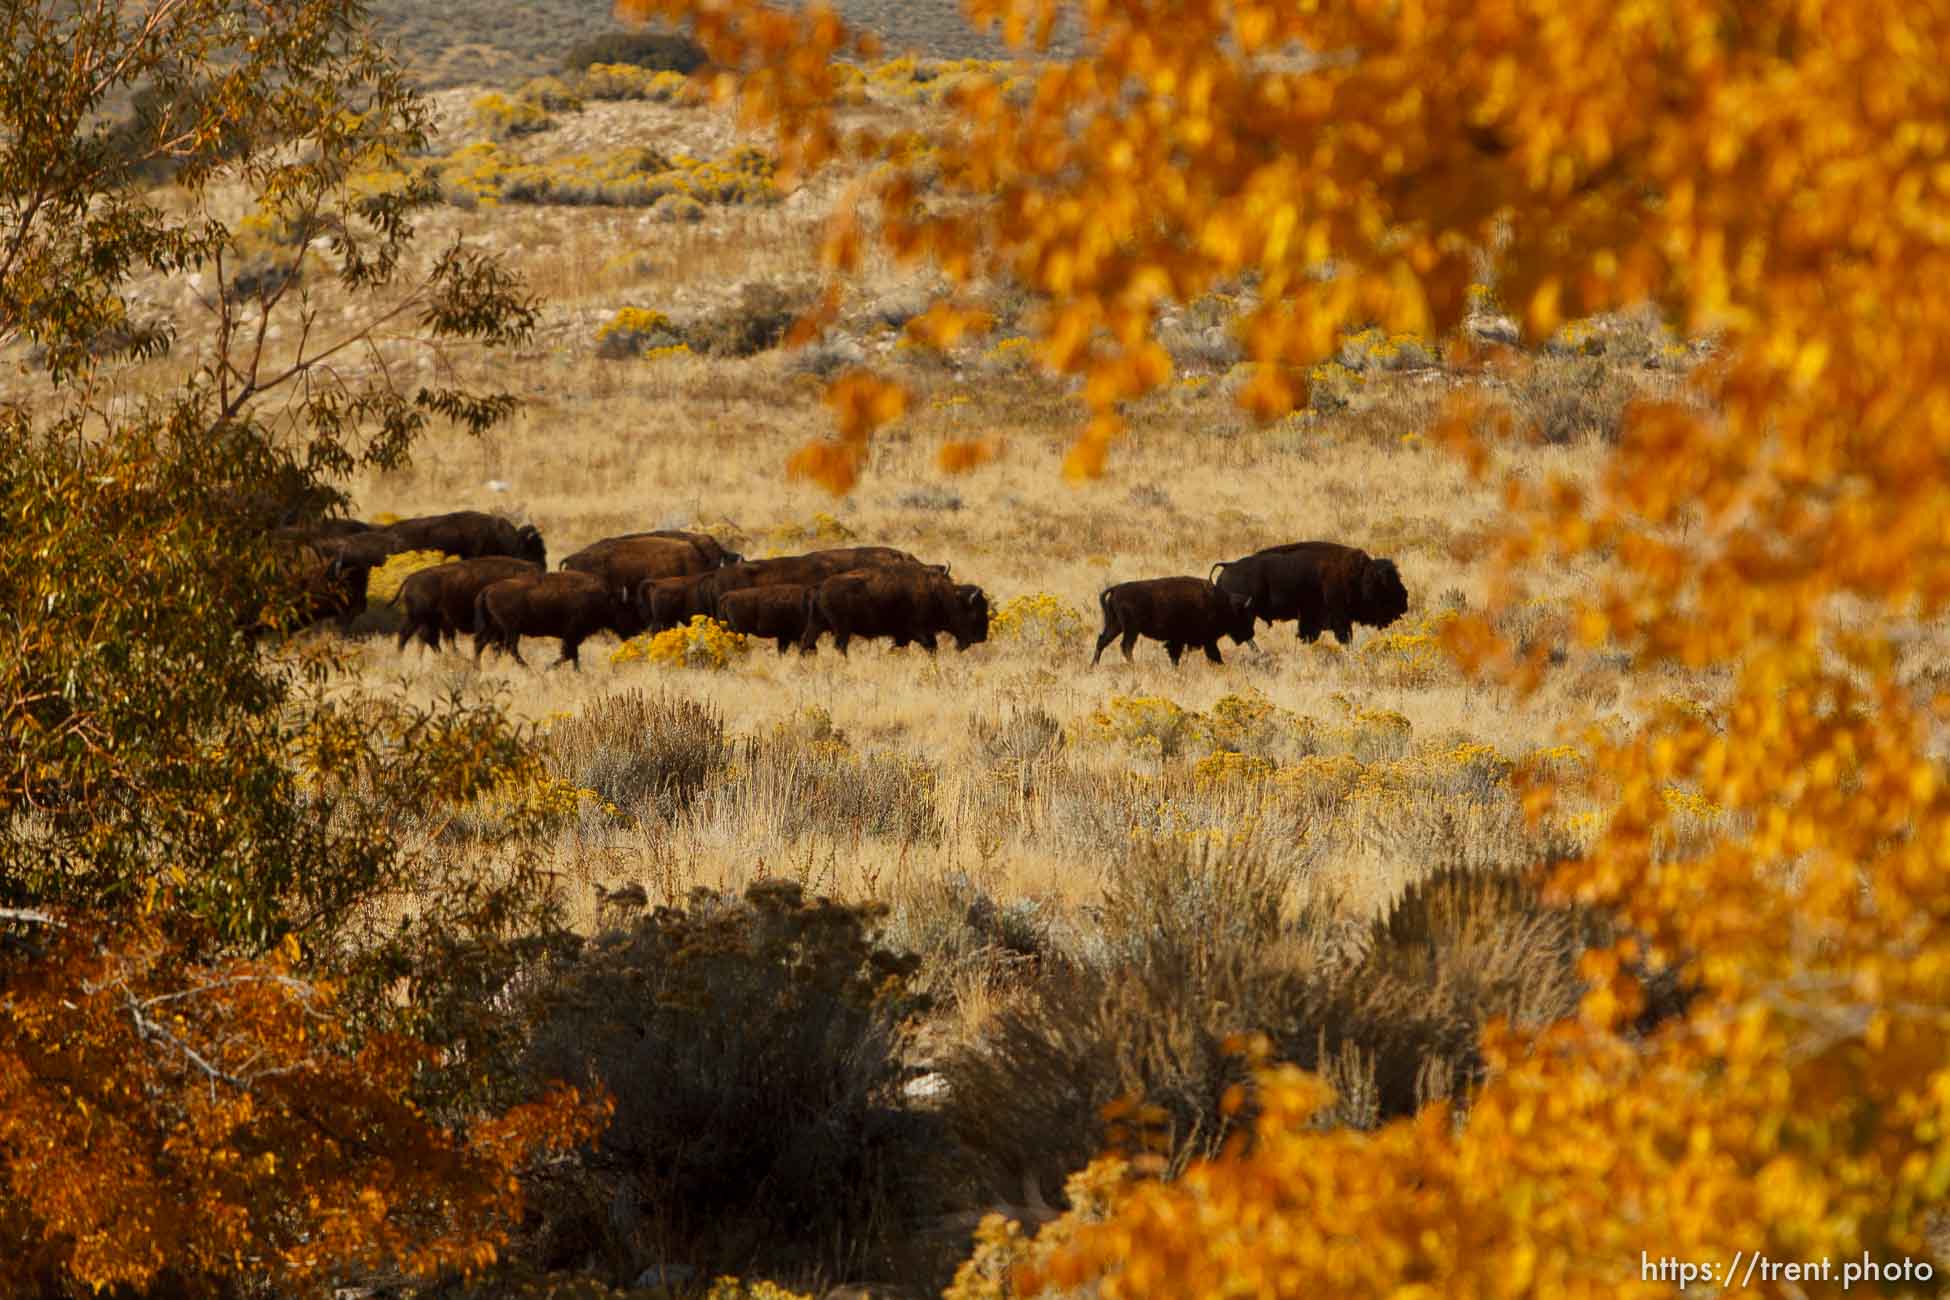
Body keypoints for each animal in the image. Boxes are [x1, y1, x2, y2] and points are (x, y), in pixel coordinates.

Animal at [473, 569, 643, 670]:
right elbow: (568, 655)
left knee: (482, 643)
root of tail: (488, 589)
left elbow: (572, 656)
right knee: (510, 648)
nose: (635, 631)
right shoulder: (572, 634)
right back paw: (529, 669)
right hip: (511, 629)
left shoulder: (573, 637)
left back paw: (478, 668)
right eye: (626, 609)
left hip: (495, 627)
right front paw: (548, 668)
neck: (605, 599)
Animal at [799, 569, 990, 654]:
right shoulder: (920, 631)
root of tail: (820, 587)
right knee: (840, 646)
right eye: (974, 612)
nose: (982, 637)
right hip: (842, 629)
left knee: (806, 642)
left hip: (817, 624)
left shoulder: (903, 636)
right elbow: (931, 647)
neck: (944, 595)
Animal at [1092, 576, 1255, 666]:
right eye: (1244, 616)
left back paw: (1093, 666)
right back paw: (1133, 666)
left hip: (1116, 625)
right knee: (1125, 646)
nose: (1250, 634)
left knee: (1102, 641)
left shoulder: (1179, 641)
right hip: (1130, 629)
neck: (1221, 604)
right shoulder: (1206, 640)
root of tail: (1116, 589)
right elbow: (1214, 654)